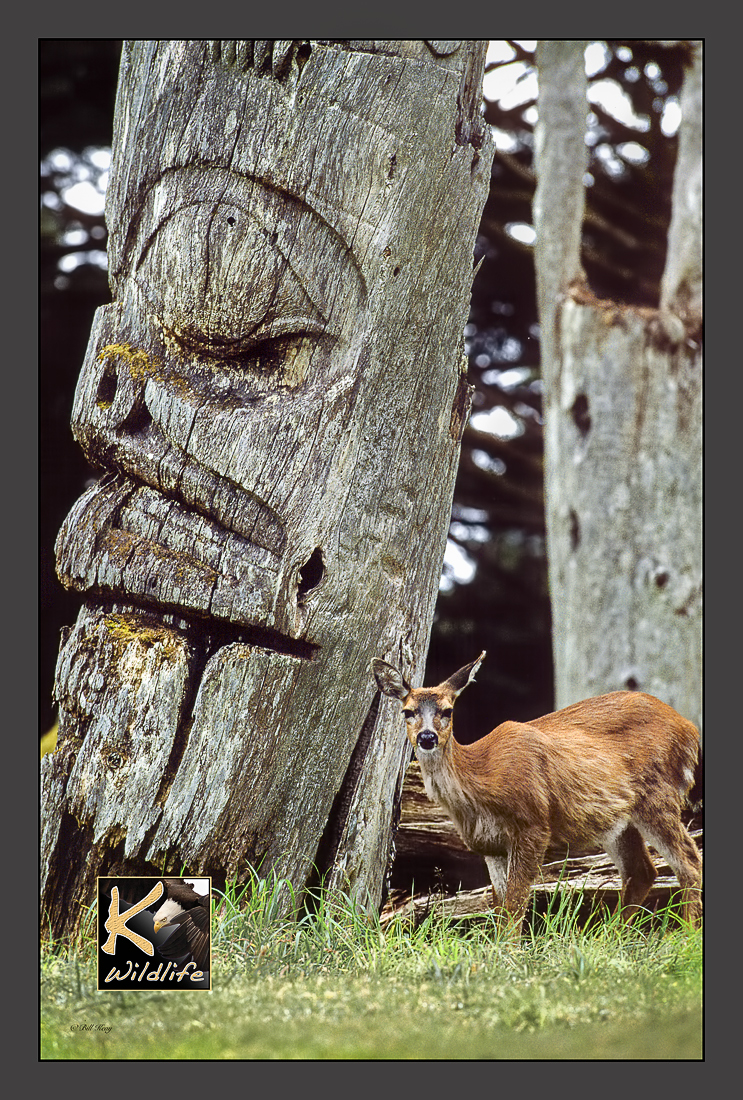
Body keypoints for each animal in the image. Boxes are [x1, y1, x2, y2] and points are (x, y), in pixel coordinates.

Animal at [372, 651, 702, 931]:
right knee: (642, 871)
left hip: (658, 794)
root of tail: (689, 729)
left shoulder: (533, 825)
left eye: (447, 710)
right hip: (617, 820)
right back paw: (609, 937)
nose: (427, 737)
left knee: (689, 860)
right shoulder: (489, 845)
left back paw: (684, 936)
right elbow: (500, 907)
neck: (481, 782)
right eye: (407, 712)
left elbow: (516, 905)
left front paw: (509, 955)